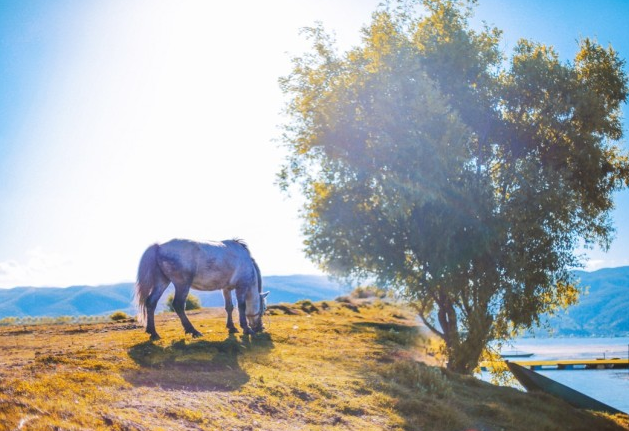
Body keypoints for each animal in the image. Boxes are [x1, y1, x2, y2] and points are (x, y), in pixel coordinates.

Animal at [135, 240, 268, 340]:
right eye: (264, 308)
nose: (260, 327)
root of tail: (159, 246)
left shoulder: (226, 289)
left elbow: (229, 307)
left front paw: (231, 327)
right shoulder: (241, 287)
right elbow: (241, 307)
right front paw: (246, 328)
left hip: (162, 281)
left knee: (151, 302)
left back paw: (153, 332)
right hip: (182, 284)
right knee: (178, 305)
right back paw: (193, 330)